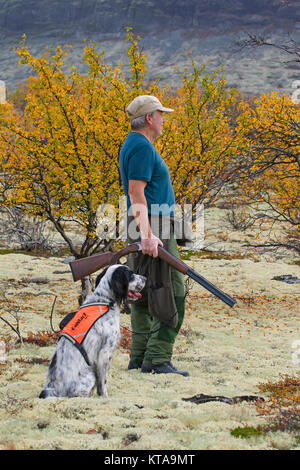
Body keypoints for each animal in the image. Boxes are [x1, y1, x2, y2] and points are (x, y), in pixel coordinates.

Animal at [39, 266, 146, 398]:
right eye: (131, 275)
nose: (145, 278)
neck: (105, 300)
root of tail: (50, 390)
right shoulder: (105, 353)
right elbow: (103, 382)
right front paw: (105, 397)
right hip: (89, 375)